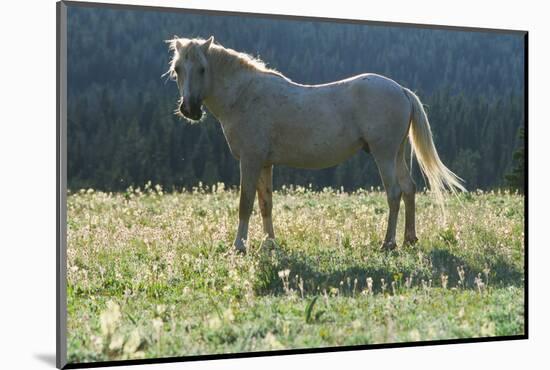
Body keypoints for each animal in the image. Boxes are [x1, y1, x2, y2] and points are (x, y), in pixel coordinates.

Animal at [167, 36, 466, 253]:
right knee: (409, 189)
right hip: (397, 153)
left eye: (202, 69)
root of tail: (401, 90)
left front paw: (239, 246)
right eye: (178, 70)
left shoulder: (250, 161)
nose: (190, 110)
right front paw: (270, 244)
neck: (244, 96)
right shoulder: (264, 163)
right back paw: (409, 239)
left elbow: (245, 203)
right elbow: (265, 204)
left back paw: (388, 243)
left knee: (393, 193)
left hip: (383, 154)